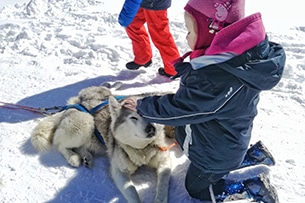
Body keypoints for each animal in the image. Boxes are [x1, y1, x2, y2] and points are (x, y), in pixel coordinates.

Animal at [31, 85, 173, 203]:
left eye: (151, 115)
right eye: (133, 117)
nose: (151, 129)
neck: (143, 149)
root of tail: (74, 104)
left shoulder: (164, 161)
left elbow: (163, 184)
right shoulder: (119, 171)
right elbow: (132, 192)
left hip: (96, 141)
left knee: (82, 147)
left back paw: (86, 157)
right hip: (85, 123)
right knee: (61, 144)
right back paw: (73, 157)